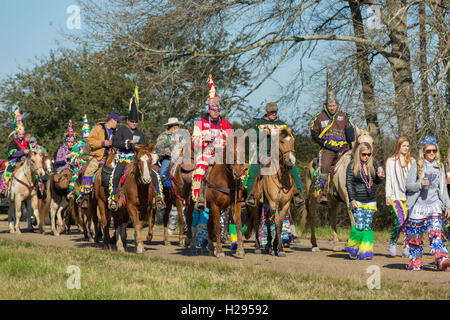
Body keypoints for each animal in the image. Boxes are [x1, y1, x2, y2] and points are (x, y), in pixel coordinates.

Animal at [244, 127, 298, 258]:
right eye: (282, 141)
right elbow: (277, 223)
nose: (291, 161)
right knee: (256, 223)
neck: (280, 177)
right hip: (257, 206)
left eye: (292, 141)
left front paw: (275, 247)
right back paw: (258, 247)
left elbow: (279, 223)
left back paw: (268, 246)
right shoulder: (274, 203)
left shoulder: (285, 204)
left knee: (268, 220)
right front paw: (280, 249)